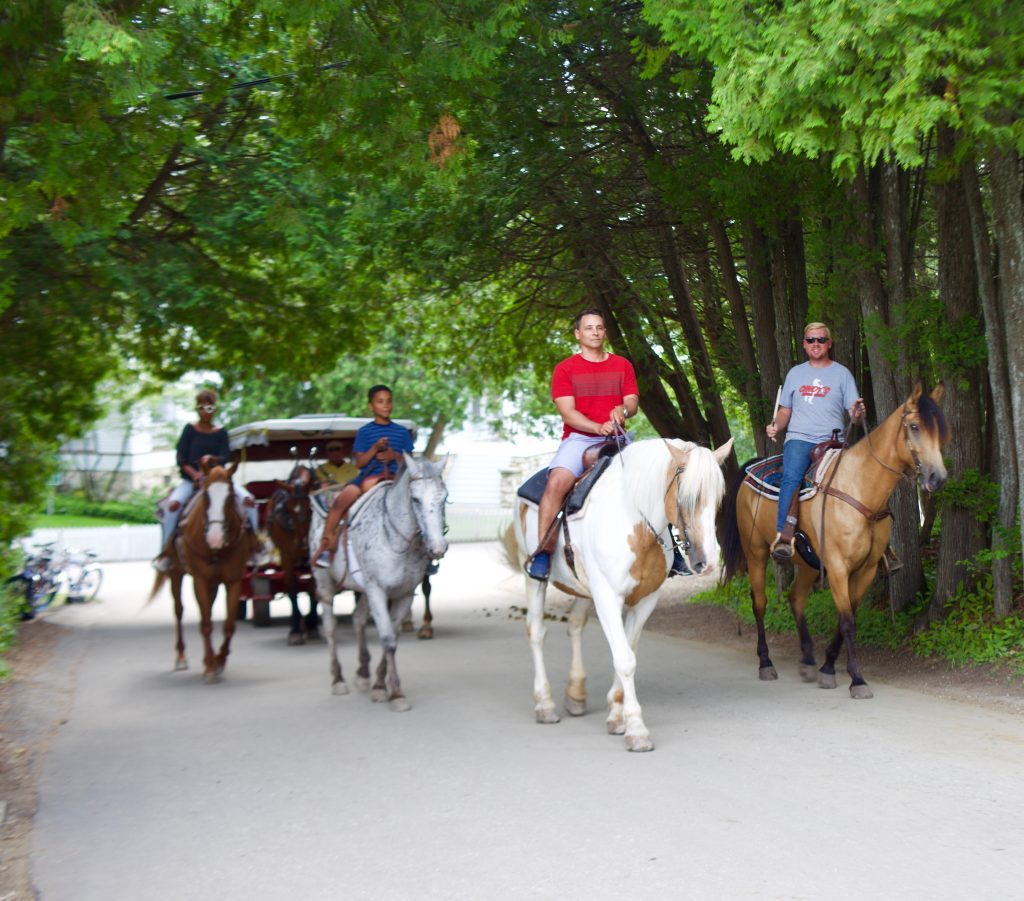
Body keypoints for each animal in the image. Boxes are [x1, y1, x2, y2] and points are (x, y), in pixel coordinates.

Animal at [148, 460, 256, 679]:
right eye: (206, 495)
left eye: (230, 496)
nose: (215, 538)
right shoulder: (200, 580)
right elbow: (205, 623)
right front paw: (210, 667)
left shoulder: (233, 580)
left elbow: (229, 625)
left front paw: (219, 660)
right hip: (176, 574)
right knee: (179, 611)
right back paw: (181, 657)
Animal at [266, 468, 317, 642]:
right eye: (288, 509)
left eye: (310, 508)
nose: (302, 543)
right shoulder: (286, 555)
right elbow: (292, 587)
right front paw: (295, 629)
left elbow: (312, 588)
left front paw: (311, 623)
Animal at [305, 454, 446, 708]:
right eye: (415, 499)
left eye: (445, 498)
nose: (438, 548)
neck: (396, 540)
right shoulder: (377, 590)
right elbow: (387, 638)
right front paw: (396, 693)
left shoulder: (404, 594)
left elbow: (392, 637)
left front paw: (380, 686)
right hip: (325, 584)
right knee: (330, 627)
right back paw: (338, 680)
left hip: (362, 590)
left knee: (358, 619)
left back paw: (362, 673)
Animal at [512, 438, 737, 753]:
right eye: (687, 497)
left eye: (719, 498)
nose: (708, 563)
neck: (633, 520)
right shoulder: (608, 597)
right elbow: (625, 660)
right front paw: (636, 729)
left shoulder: (645, 601)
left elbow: (628, 651)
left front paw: (616, 715)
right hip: (534, 579)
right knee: (536, 632)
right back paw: (545, 705)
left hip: (585, 590)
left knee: (575, 625)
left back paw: (576, 694)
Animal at [720, 382, 950, 700]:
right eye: (915, 426)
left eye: (941, 429)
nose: (937, 478)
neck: (860, 486)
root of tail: (751, 469)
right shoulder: (839, 567)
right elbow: (847, 621)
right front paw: (857, 680)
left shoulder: (866, 570)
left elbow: (848, 619)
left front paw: (827, 666)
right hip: (756, 553)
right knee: (760, 603)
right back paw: (765, 663)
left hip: (807, 563)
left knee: (795, 598)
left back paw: (807, 659)